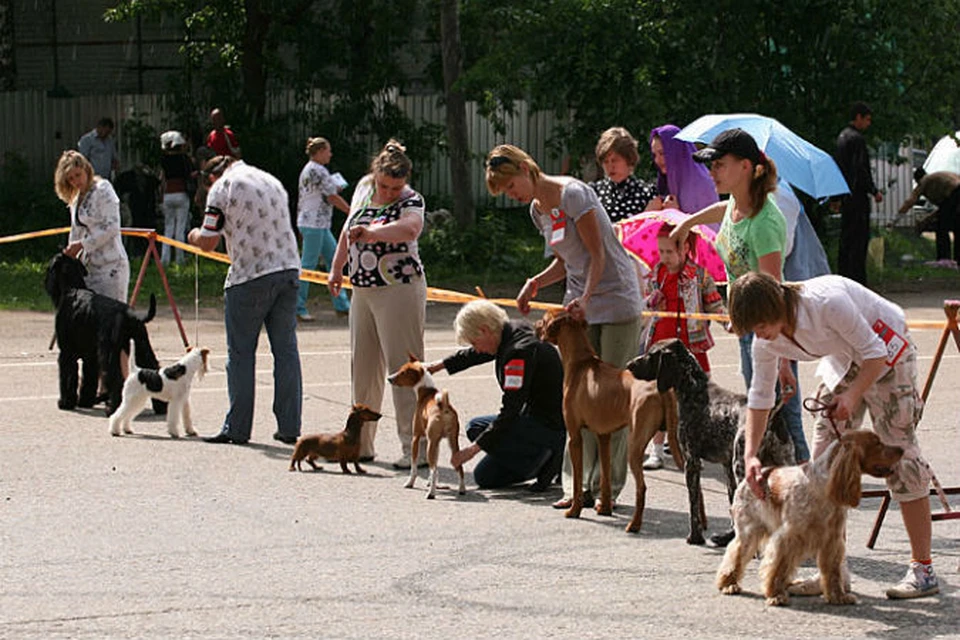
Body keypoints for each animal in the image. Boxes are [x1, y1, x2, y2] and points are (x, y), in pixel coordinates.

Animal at [45, 252, 166, 418]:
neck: (72, 288)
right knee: (152, 368)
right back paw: (161, 407)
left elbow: (68, 376)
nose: (46, 282)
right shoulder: (91, 356)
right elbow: (88, 379)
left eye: (49, 268)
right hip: (142, 345)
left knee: (116, 379)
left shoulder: (66, 353)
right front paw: (85, 401)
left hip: (109, 352)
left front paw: (65, 403)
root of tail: (129, 314)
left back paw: (112, 409)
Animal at [536, 308, 680, 532]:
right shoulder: (604, 435)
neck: (580, 363)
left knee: (641, 487)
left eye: (543, 320)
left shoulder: (575, 436)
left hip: (635, 446)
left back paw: (634, 525)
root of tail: (660, 389)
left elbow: (577, 480)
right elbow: (605, 475)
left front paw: (574, 510)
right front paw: (604, 508)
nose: (534, 326)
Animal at [628, 340, 792, 544]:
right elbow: (731, 500)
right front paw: (728, 535)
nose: (629, 365)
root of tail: (772, 415)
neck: (693, 388)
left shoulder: (691, 461)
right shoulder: (725, 465)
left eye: (651, 354)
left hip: (743, 467)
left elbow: (694, 503)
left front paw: (695, 536)